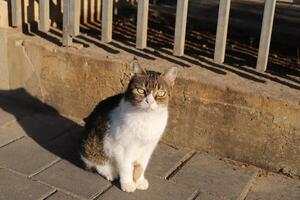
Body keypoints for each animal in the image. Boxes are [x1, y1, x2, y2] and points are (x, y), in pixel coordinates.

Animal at [79, 59, 177, 192]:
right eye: (141, 90)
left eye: (161, 93)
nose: (150, 101)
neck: (146, 119)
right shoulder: (121, 147)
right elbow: (125, 167)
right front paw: (128, 183)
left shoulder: (148, 147)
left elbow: (141, 165)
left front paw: (139, 181)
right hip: (93, 145)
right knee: (96, 163)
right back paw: (110, 172)